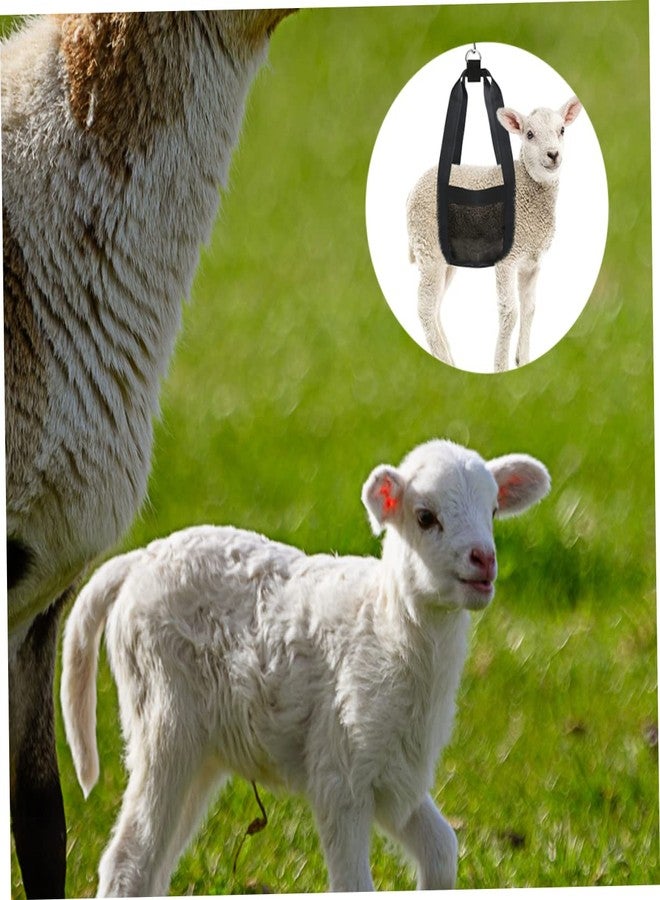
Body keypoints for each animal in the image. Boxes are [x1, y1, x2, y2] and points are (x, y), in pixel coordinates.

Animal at [60, 438, 550, 896]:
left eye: (493, 510)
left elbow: (442, 851)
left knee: (156, 861)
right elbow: (354, 884)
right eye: (426, 517)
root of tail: (138, 560)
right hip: (163, 716)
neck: (387, 628)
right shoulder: (341, 769)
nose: (484, 560)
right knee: (128, 858)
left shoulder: (395, 770)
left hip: (203, 748)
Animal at [407, 96, 582, 372]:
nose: (553, 154)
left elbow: (530, 309)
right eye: (529, 134)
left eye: (562, 130)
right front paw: (500, 366)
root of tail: (412, 191)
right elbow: (510, 312)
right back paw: (443, 357)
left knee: (435, 305)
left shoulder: (532, 262)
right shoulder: (507, 259)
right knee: (425, 307)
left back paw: (450, 360)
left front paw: (523, 359)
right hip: (428, 247)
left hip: (446, 258)